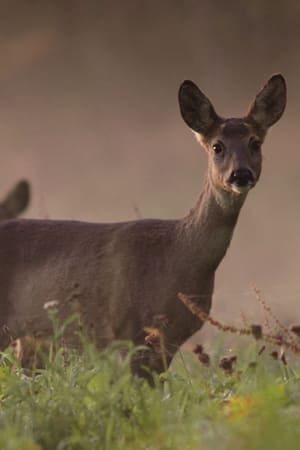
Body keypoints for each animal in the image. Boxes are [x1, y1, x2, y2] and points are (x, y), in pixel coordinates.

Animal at [0, 75, 286, 382]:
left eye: (255, 143)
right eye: (217, 146)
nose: (241, 174)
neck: (179, 255)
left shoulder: (169, 340)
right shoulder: (130, 330)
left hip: (32, 338)